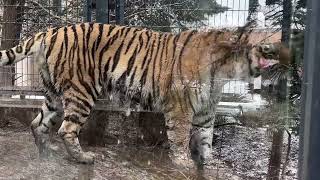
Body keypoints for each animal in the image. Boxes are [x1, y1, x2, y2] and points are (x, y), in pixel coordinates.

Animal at [0, 22, 276, 169]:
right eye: (268, 42)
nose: (279, 53)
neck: (227, 70)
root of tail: (50, 32)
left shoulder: (206, 111)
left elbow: (206, 139)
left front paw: (205, 162)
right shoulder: (181, 107)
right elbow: (180, 137)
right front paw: (183, 162)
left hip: (54, 95)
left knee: (38, 124)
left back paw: (45, 154)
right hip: (81, 91)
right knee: (66, 129)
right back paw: (83, 158)